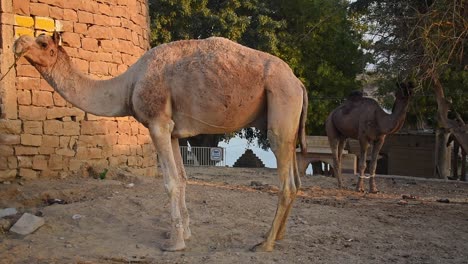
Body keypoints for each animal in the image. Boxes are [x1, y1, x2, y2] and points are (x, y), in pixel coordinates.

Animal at [13, 32, 308, 252]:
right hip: (288, 119)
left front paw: (174, 243)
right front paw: (185, 234)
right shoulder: (174, 132)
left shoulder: (157, 123)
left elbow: (170, 182)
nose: (17, 43)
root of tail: (298, 83)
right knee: (296, 180)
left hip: (281, 103)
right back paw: (278, 236)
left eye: (42, 42)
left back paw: (265, 243)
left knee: (286, 180)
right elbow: (183, 178)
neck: (128, 85)